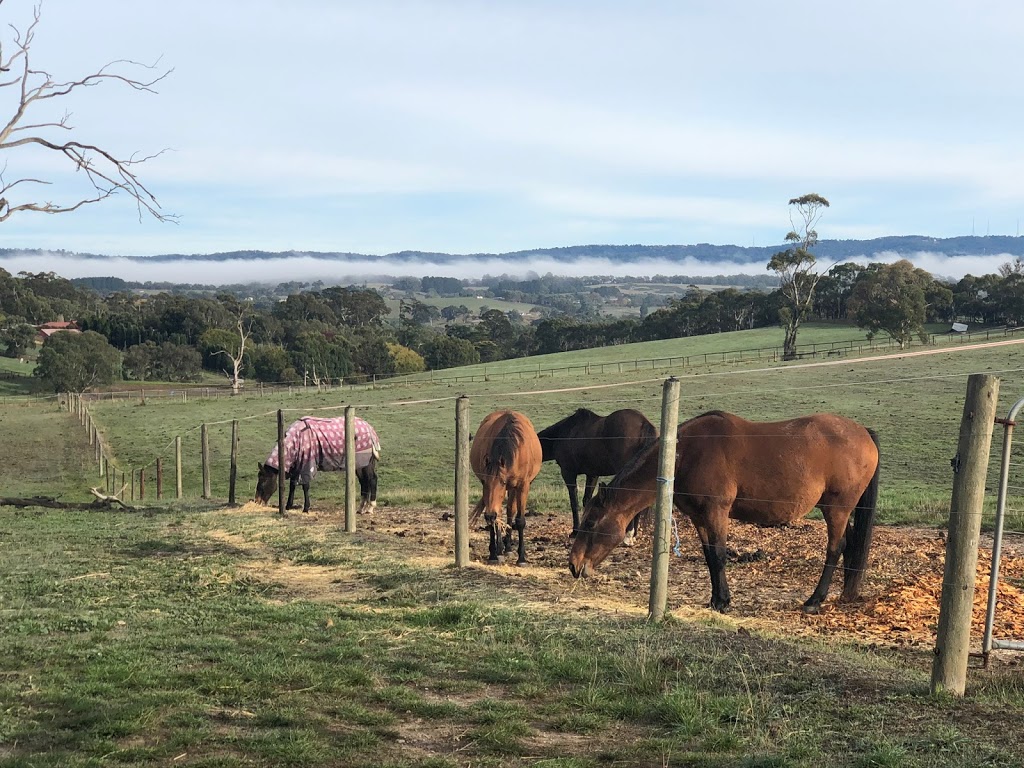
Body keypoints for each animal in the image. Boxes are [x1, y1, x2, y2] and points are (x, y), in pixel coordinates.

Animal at [253, 417, 382, 514]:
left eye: (263, 481)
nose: (257, 501)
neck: (296, 439)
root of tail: (370, 429)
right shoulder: (296, 467)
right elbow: (292, 486)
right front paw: (288, 506)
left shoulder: (306, 465)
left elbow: (305, 486)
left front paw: (306, 508)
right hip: (359, 465)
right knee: (364, 482)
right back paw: (361, 509)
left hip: (366, 463)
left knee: (372, 479)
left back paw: (370, 508)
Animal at [468, 411, 544, 569]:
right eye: (484, 482)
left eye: (502, 482)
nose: (490, 515)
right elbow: (495, 519)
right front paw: (493, 554)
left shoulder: (523, 486)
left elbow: (519, 520)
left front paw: (521, 558)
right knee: (501, 515)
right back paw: (500, 550)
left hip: (514, 489)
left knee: (510, 511)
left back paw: (508, 548)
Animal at [536, 409, 655, 540]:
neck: (564, 434)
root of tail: (644, 423)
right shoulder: (592, 474)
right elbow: (586, 500)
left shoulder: (568, 473)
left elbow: (574, 502)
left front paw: (575, 531)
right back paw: (633, 534)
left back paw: (628, 535)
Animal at [569, 411, 880, 618]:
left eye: (591, 522)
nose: (573, 565)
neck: (687, 454)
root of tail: (864, 432)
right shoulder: (699, 517)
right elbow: (709, 556)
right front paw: (716, 599)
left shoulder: (716, 512)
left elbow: (719, 555)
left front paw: (723, 601)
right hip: (837, 510)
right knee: (849, 544)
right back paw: (845, 593)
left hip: (837, 509)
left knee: (835, 548)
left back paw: (815, 600)